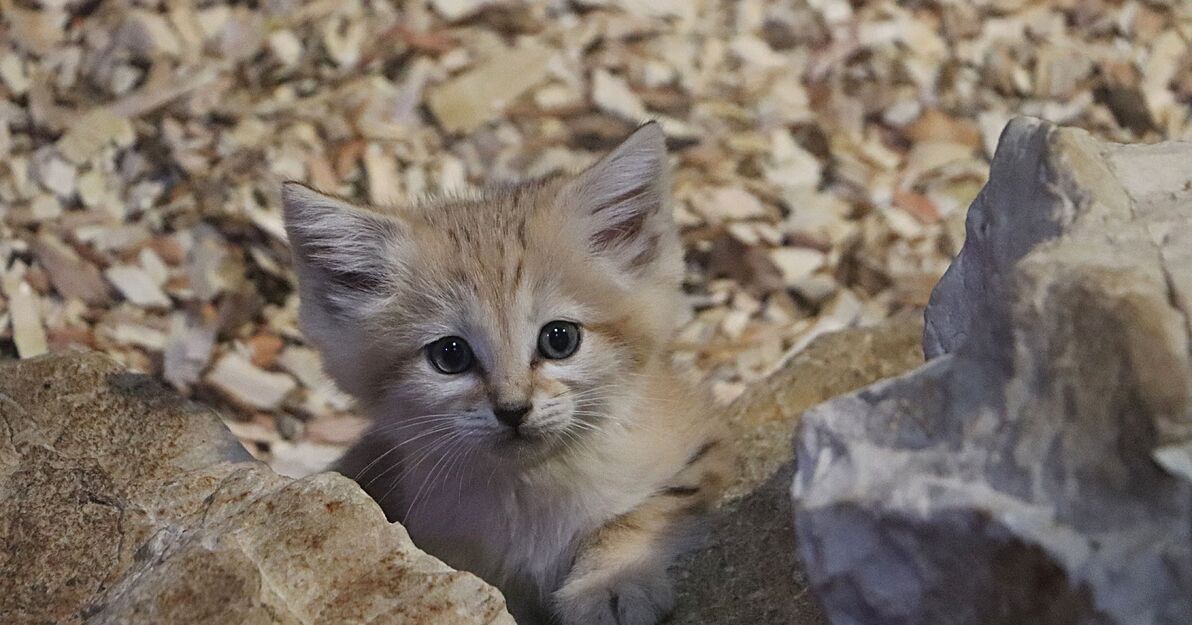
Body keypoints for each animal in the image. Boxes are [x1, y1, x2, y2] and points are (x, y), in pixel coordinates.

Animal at [283, 123, 729, 625]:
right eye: (450, 355)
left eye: (559, 339)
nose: (513, 409)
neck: (534, 490)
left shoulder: (702, 444)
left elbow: (640, 514)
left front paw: (609, 583)